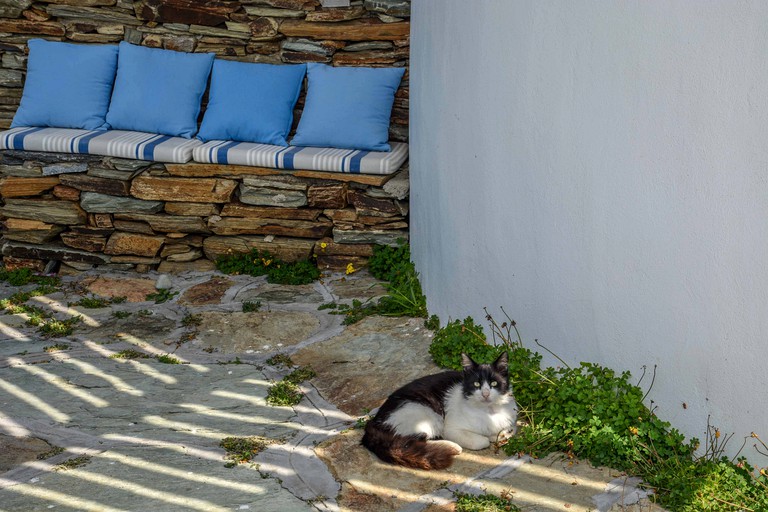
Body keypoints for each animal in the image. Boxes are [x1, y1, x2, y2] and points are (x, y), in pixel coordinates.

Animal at [360, 352, 516, 468]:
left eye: (494, 383)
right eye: (476, 384)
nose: (485, 394)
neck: (488, 411)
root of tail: (375, 423)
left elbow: (509, 430)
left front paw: (500, 434)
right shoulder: (451, 428)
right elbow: (482, 441)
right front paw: (487, 438)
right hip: (427, 414)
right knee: (410, 441)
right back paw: (451, 447)